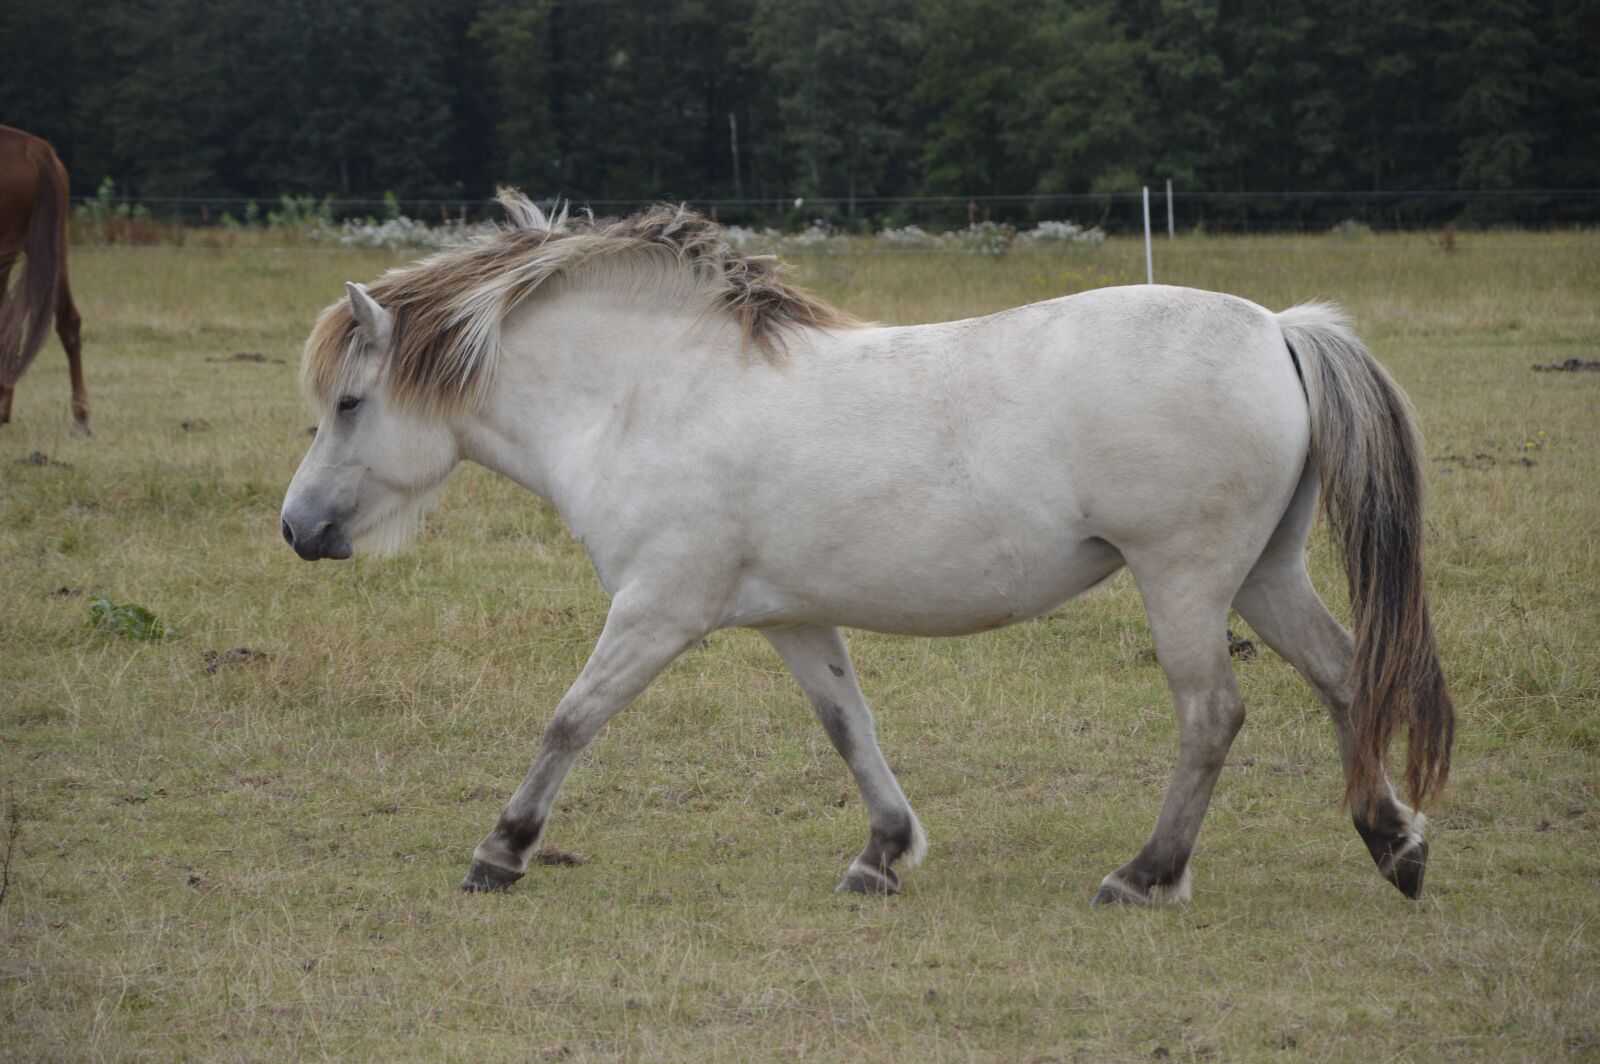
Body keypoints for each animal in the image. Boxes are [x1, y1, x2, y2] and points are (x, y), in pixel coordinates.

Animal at [281, 191, 1454, 905]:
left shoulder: (659, 608)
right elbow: (851, 728)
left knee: (1213, 714)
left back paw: (1144, 873)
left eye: (348, 403)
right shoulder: (795, 619)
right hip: (1264, 576)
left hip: (1187, 578)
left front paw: (501, 850)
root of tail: (1279, 328)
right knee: (1348, 677)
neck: (648, 396)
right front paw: (882, 853)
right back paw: (1395, 844)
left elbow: (571, 717)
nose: (297, 528)